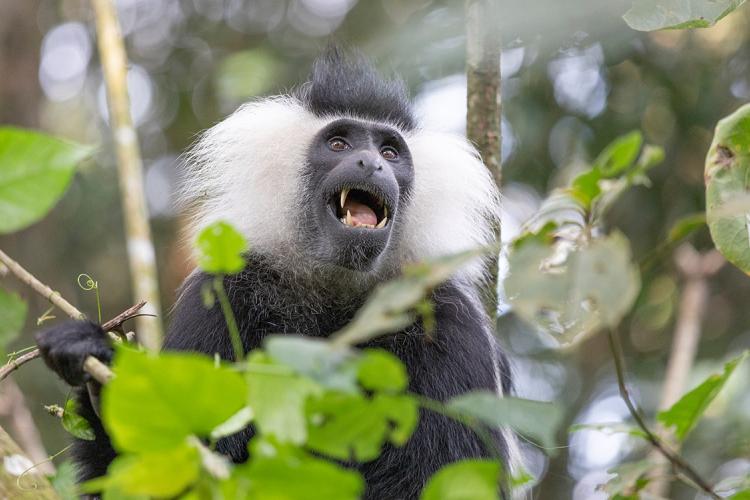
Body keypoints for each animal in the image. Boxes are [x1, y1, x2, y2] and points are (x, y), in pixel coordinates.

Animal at [36, 48, 518, 499]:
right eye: (339, 144)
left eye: (389, 151)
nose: (372, 164)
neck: (338, 293)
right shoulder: (222, 297)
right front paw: (97, 372)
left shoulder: (451, 325)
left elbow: (441, 476)